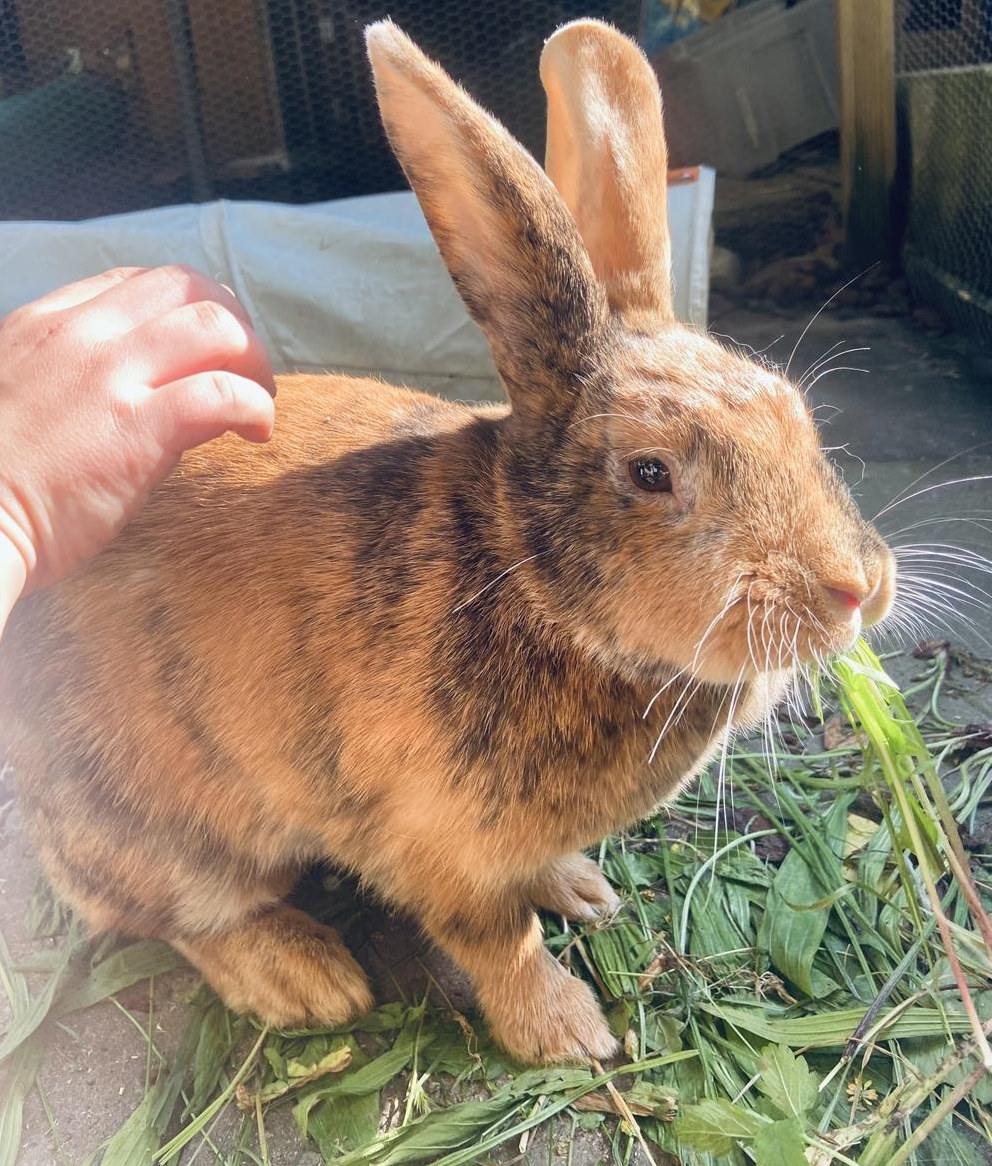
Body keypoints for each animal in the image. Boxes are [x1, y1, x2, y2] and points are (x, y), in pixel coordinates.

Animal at [0, 19, 895, 1066]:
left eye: (795, 414)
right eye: (649, 473)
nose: (856, 589)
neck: (528, 574)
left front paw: (583, 891)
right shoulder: (438, 844)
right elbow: (501, 940)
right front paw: (570, 1035)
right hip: (165, 836)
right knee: (177, 915)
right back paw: (308, 981)